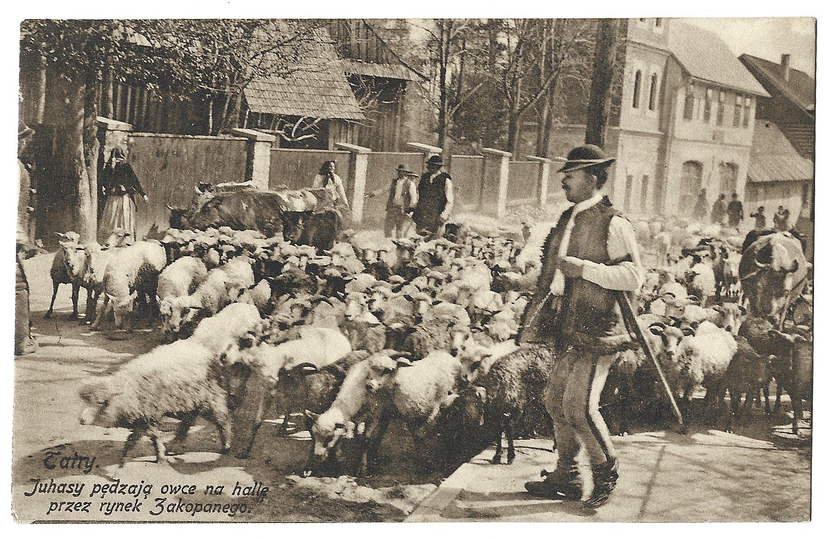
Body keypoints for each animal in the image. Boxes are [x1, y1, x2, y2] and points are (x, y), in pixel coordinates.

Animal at [78, 339, 232, 464]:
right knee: (189, 418)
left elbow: (153, 436)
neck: (128, 390)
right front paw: (125, 456)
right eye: (86, 403)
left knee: (222, 417)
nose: (81, 420)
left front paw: (160, 457)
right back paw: (175, 445)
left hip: (209, 396)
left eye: (100, 403)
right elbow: (135, 438)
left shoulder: (150, 414)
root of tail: (204, 350)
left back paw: (226, 445)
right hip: (189, 400)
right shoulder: (142, 416)